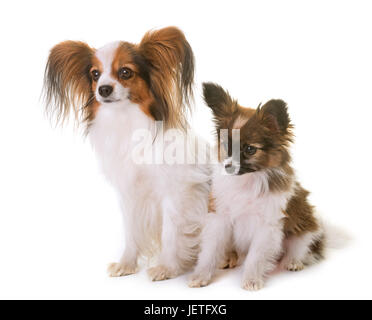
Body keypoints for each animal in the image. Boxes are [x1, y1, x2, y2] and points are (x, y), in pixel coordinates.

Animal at [42, 26, 211, 280]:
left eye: (125, 72)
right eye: (95, 74)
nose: (103, 89)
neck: (126, 120)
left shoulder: (175, 194)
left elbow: (171, 233)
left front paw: (167, 268)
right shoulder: (130, 194)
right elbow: (131, 231)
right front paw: (127, 264)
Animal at [190, 83, 326, 290]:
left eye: (249, 149)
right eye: (225, 145)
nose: (228, 166)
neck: (247, 181)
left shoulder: (266, 226)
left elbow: (256, 257)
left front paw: (252, 280)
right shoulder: (220, 219)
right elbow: (210, 251)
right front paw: (201, 275)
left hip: (305, 225)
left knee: (302, 246)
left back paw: (293, 261)